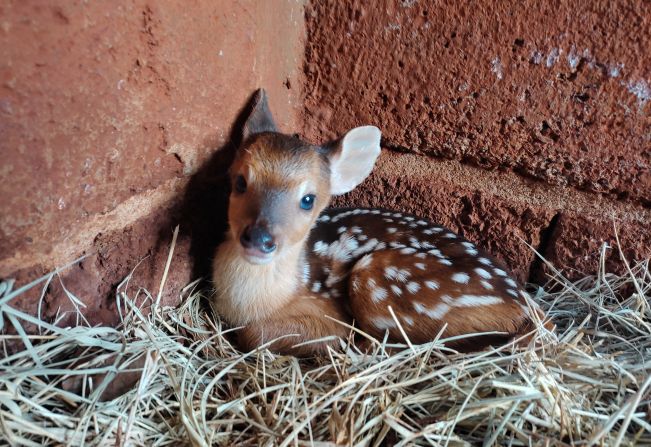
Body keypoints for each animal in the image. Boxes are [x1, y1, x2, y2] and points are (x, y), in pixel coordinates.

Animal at [214, 90, 552, 356]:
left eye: (308, 199)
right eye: (240, 182)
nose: (260, 239)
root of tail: (526, 306)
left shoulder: (330, 317)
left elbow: (255, 333)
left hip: (380, 277)